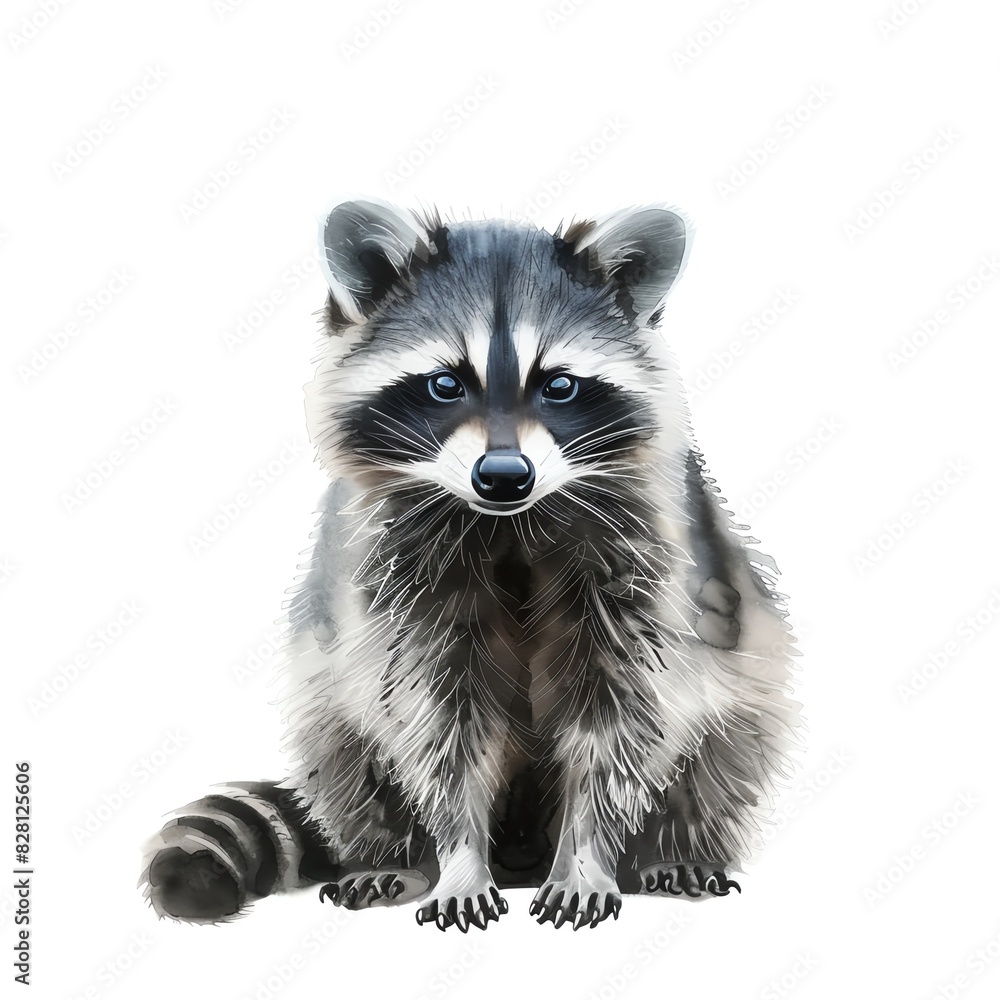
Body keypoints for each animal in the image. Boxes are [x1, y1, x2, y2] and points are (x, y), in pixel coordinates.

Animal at [141, 200, 799, 932]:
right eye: (445, 384)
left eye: (560, 385)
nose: (505, 475)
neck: (508, 523)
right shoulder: (401, 588)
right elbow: (437, 726)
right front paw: (458, 856)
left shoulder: (647, 572)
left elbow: (620, 724)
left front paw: (585, 854)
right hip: (325, 683)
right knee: (343, 751)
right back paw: (390, 855)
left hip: (743, 666)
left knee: (723, 752)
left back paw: (674, 848)